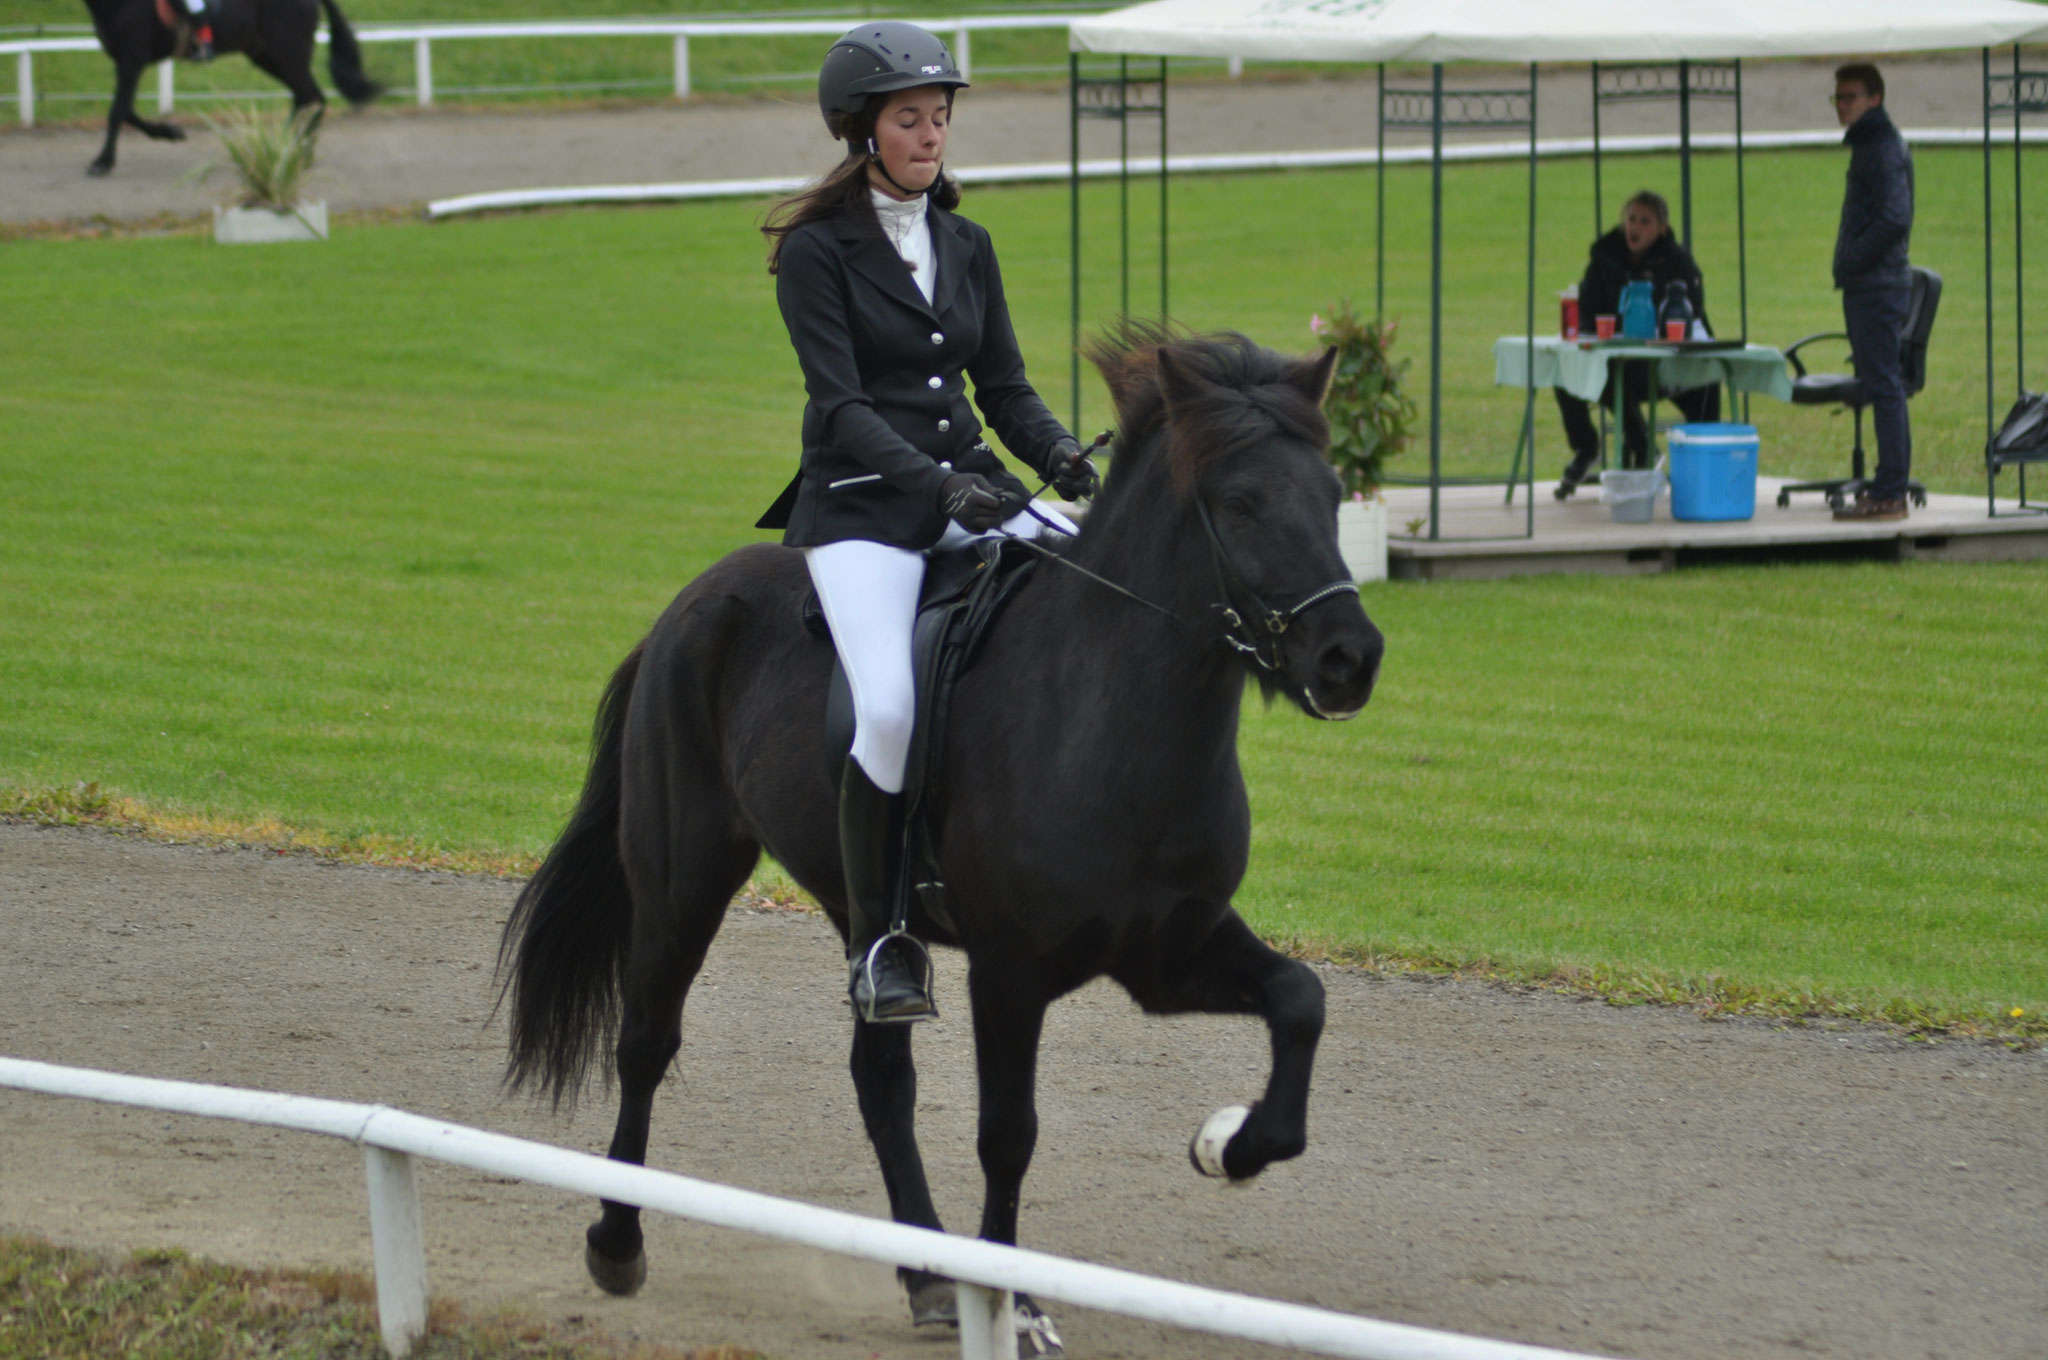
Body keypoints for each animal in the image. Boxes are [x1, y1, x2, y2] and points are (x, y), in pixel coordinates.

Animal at [76, 0, 380, 176]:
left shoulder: (132, 59)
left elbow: (118, 111)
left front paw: (102, 162)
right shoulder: (126, 62)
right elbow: (126, 110)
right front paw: (169, 132)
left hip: (286, 54)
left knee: (311, 97)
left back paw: (292, 153)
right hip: (267, 56)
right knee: (306, 98)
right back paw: (288, 150)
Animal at [501, 323, 1384, 1343]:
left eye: (1333, 494)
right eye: (1240, 502)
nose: (1350, 659)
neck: (1111, 717)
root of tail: (693, 602)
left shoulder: (1169, 953)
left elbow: (1302, 1000)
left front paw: (1230, 1146)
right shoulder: (1009, 973)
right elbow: (1009, 1136)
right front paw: (1016, 1306)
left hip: (864, 914)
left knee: (879, 1077)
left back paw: (925, 1277)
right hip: (683, 886)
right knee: (646, 1042)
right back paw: (617, 1241)